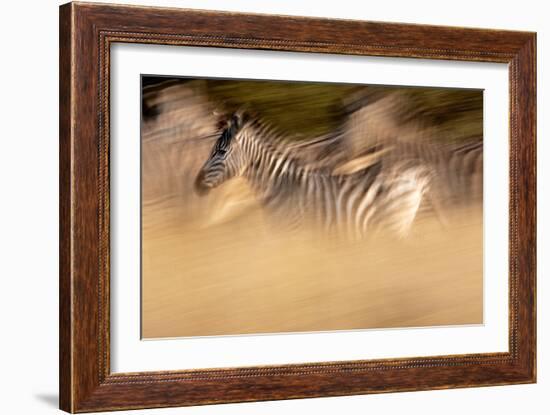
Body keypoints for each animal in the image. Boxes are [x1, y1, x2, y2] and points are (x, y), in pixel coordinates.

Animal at [195, 113, 436, 240]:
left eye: (221, 151)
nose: (196, 184)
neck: (279, 186)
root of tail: (414, 171)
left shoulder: (292, 234)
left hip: (396, 224)